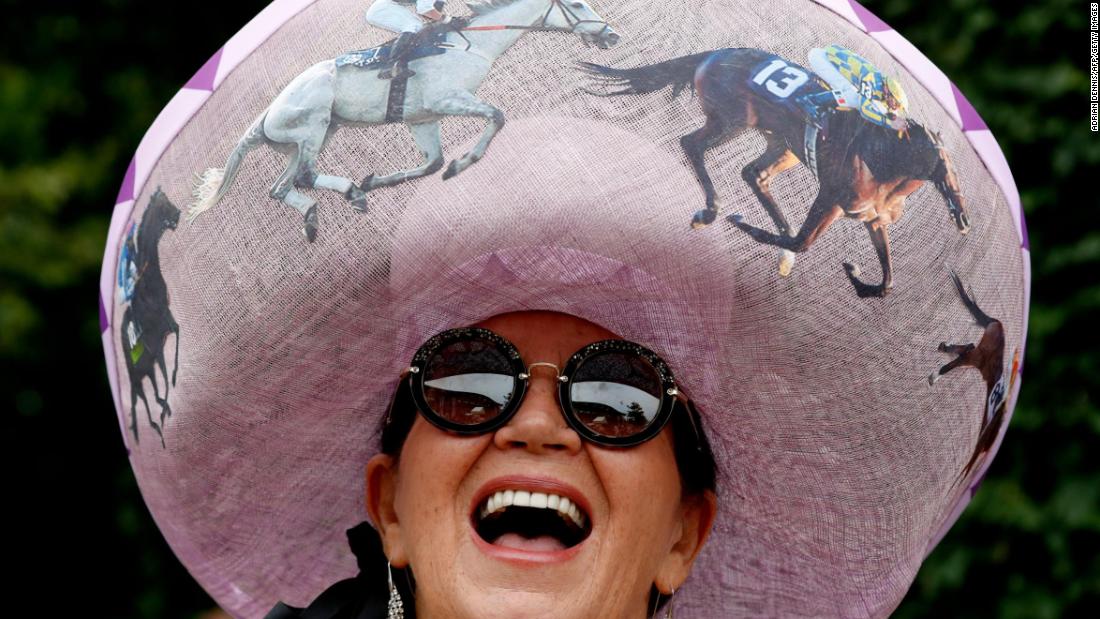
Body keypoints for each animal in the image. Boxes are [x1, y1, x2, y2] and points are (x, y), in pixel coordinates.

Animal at [189, 0, 620, 240]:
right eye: (578, 6)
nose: (612, 36)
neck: (470, 44)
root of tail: (266, 114)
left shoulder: (422, 118)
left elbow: (432, 163)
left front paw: (378, 180)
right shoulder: (447, 99)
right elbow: (496, 117)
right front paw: (464, 162)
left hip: (310, 137)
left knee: (281, 187)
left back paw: (315, 215)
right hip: (313, 125)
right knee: (306, 176)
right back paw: (350, 192)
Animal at [576, 47, 972, 296]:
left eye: (952, 171)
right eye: (943, 168)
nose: (964, 218)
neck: (884, 158)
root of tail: (713, 54)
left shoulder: (872, 219)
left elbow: (887, 282)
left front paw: (858, 277)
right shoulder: (831, 198)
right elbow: (803, 241)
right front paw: (741, 223)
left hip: (782, 145)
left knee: (754, 174)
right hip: (732, 120)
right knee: (693, 145)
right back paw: (712, 210)